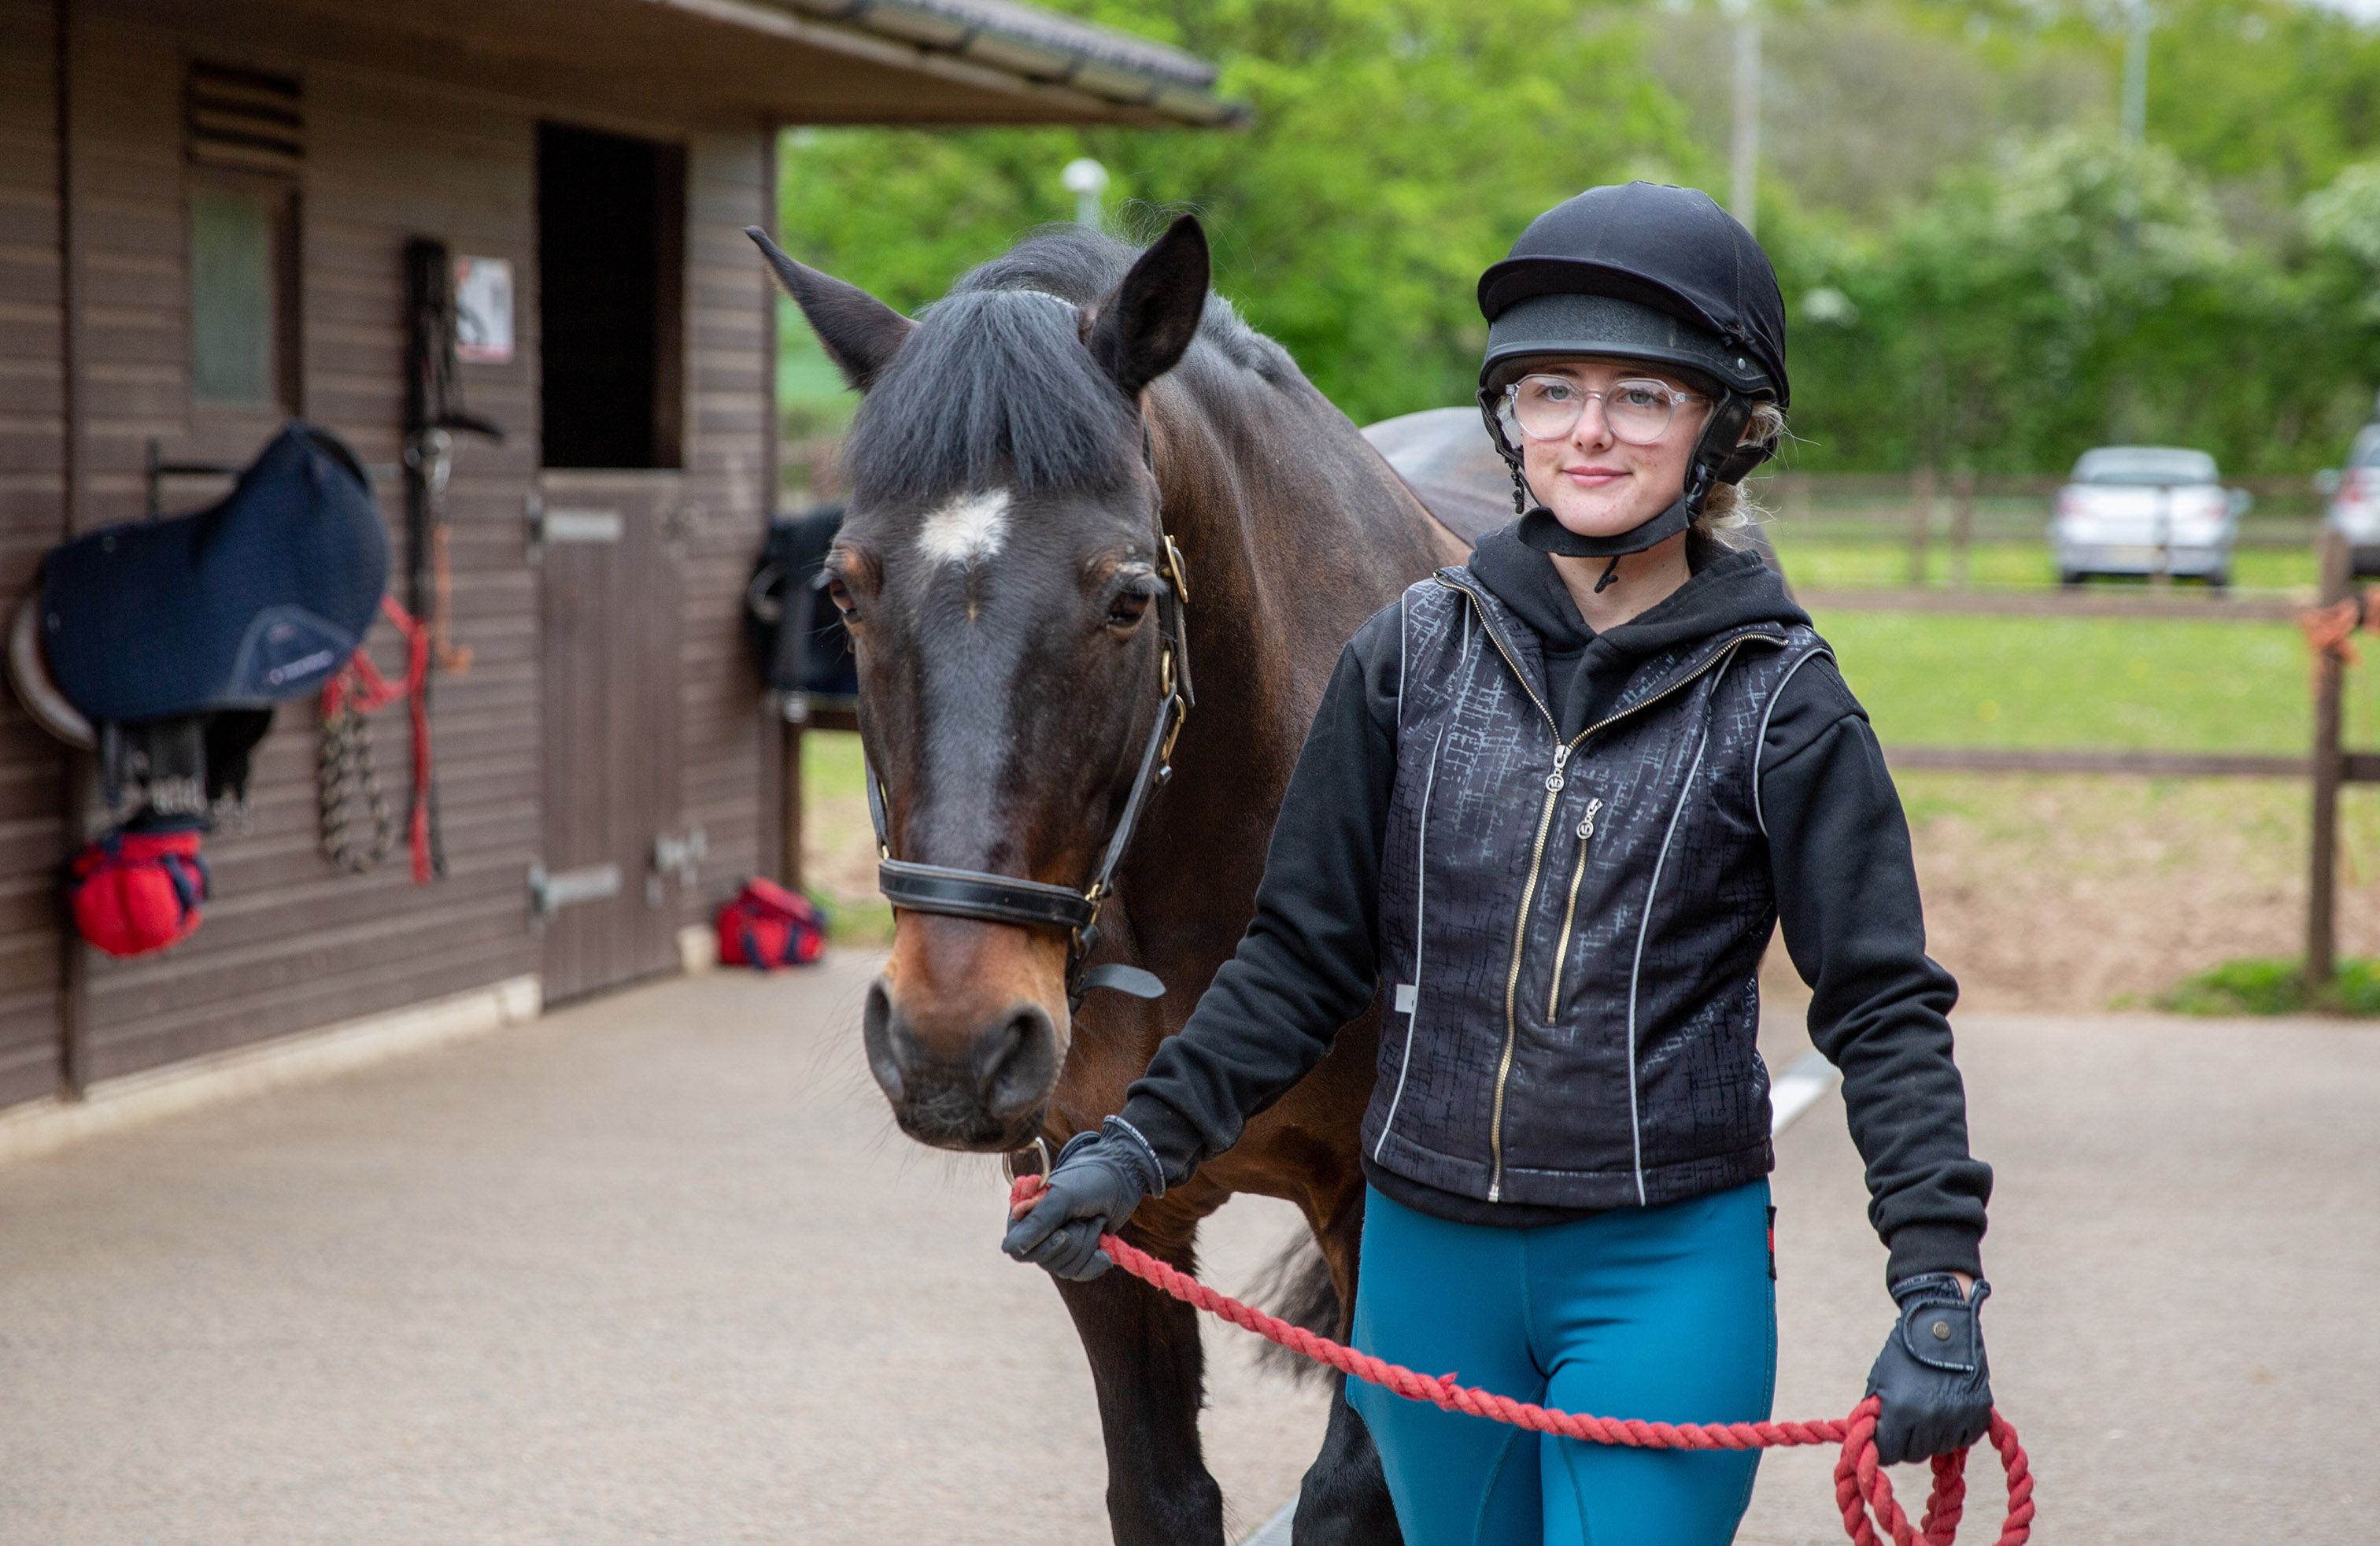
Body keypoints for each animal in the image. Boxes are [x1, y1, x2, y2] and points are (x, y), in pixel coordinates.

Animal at [751, 214, 1469, 1543]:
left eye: (1129, 600)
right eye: (844, 591)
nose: (951, 1040)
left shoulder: (1381, 1216)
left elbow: (1355, 1497)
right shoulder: (1101, 1209)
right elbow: (1161, 1494)